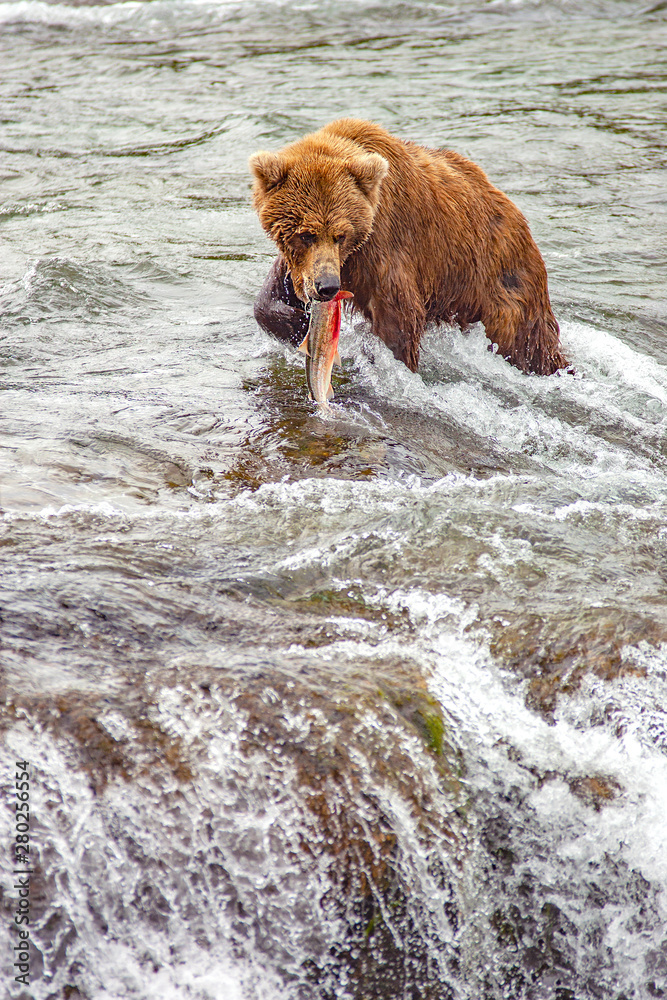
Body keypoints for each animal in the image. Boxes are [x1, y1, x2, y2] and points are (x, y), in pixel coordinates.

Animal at [249, 119, 567, 376]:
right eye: (305, 234)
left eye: (341, 234)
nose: (327, 287)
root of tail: (521, 220)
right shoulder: (318, 263)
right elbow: (275, 291)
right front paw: (294, 323)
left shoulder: (383, 247)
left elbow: (398, 318)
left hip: (503, 284)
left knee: (526, 344)